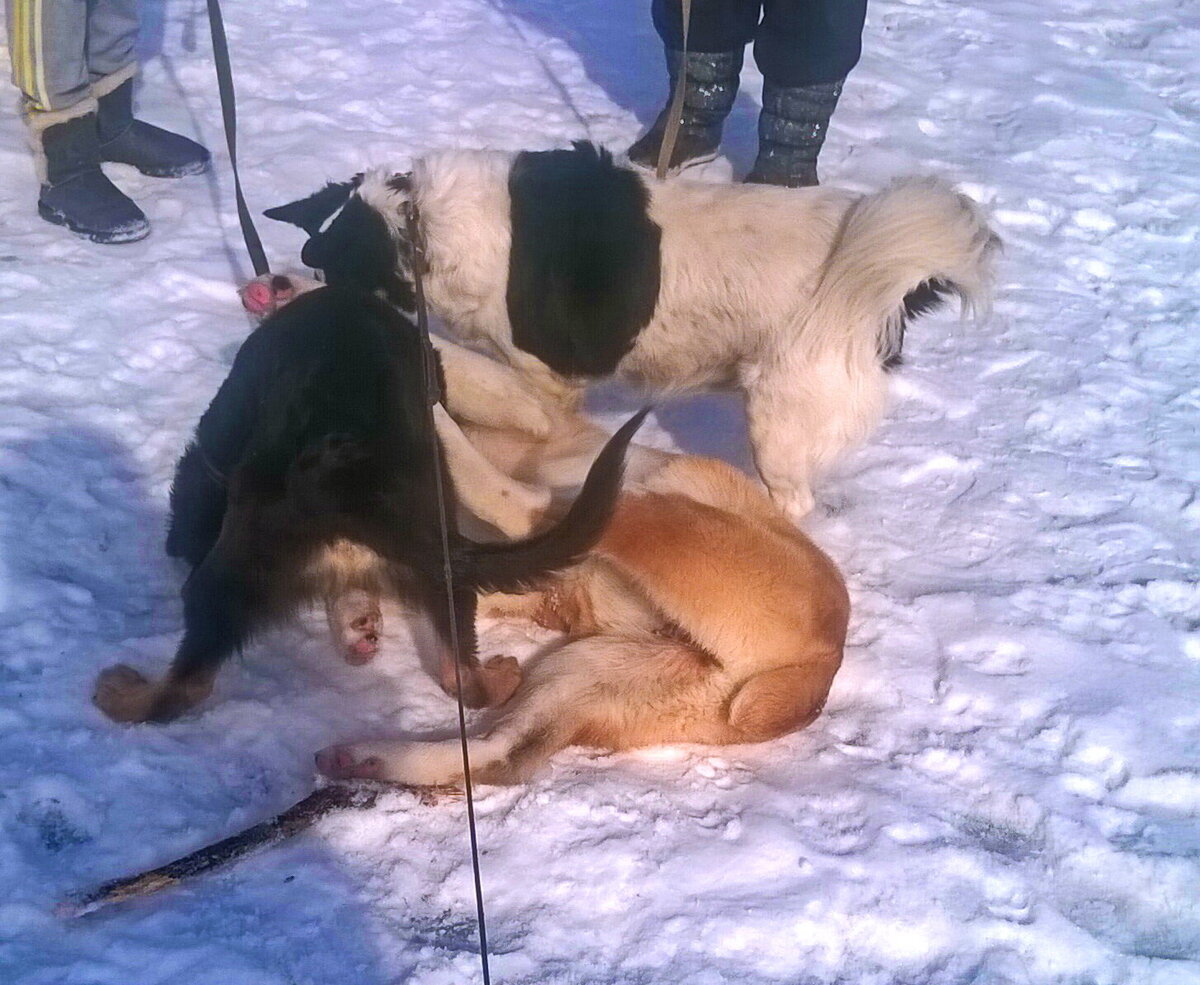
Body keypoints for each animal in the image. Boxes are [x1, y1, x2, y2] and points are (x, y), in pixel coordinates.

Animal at [91, 278, 648, 724]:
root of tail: (345, 490)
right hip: (440, 571)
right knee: (459, 676)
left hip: (226, 575)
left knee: (185, 684)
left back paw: (118, 695)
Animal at [267, 142, 998, 523]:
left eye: (331, 271)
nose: (287, 293)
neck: (417, 222)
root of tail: (893, 275)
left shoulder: (544, 382)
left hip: (782, 421)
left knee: (791, 501)